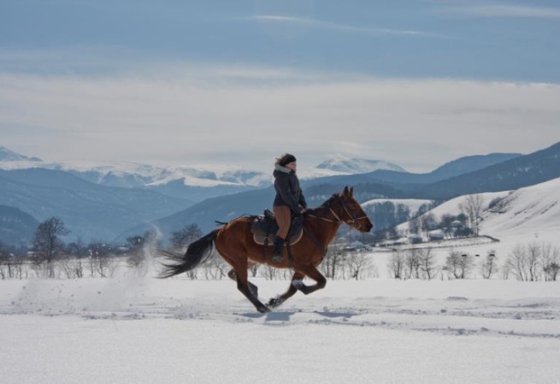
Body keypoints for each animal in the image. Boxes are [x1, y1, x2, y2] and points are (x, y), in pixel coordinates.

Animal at [160, 187, 374, 316]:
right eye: (353, 205)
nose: (369, 226)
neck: (316, 228)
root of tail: (221, 230)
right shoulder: (304, 265)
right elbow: (321, 282)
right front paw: (291, 294)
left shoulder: (302, 267)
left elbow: (292, 289)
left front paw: (275, 300)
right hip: (239, 259)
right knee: (241, 285)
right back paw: (260, 306)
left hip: (246, 260)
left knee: (234, 276)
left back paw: (258, 295)